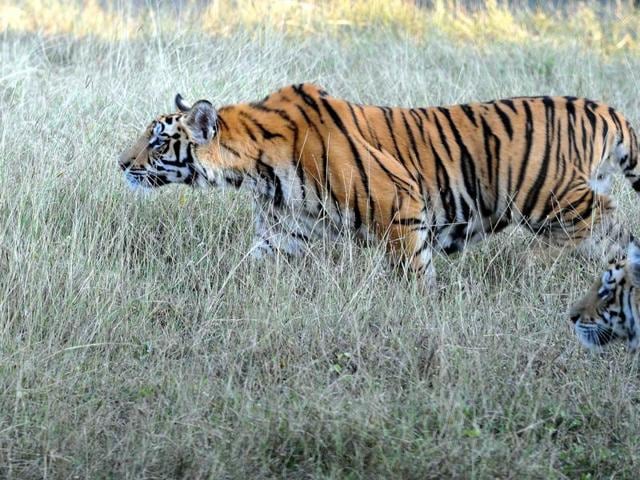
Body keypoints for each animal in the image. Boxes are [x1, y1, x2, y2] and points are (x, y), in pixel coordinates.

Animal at [118, 83, 640, 287]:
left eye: (157, 141)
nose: (120, 162)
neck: (256, 170)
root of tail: (605, 109)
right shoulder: (281, 234)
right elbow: (244, 269)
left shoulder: (398, 203)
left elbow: (415, 272)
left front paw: (425, 309)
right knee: (616, 235)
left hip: (549, 196)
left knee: (604, 222)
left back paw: (529, 263)